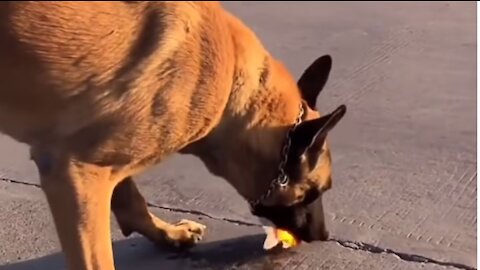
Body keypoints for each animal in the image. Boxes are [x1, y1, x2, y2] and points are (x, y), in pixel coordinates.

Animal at [0, 2, 344, 270]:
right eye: (316, 191)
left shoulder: (100, 160)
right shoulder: (77, 173)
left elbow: (131, 201)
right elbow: (98, 258)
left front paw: (167, 233)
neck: (232, 88)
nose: (325, 235)